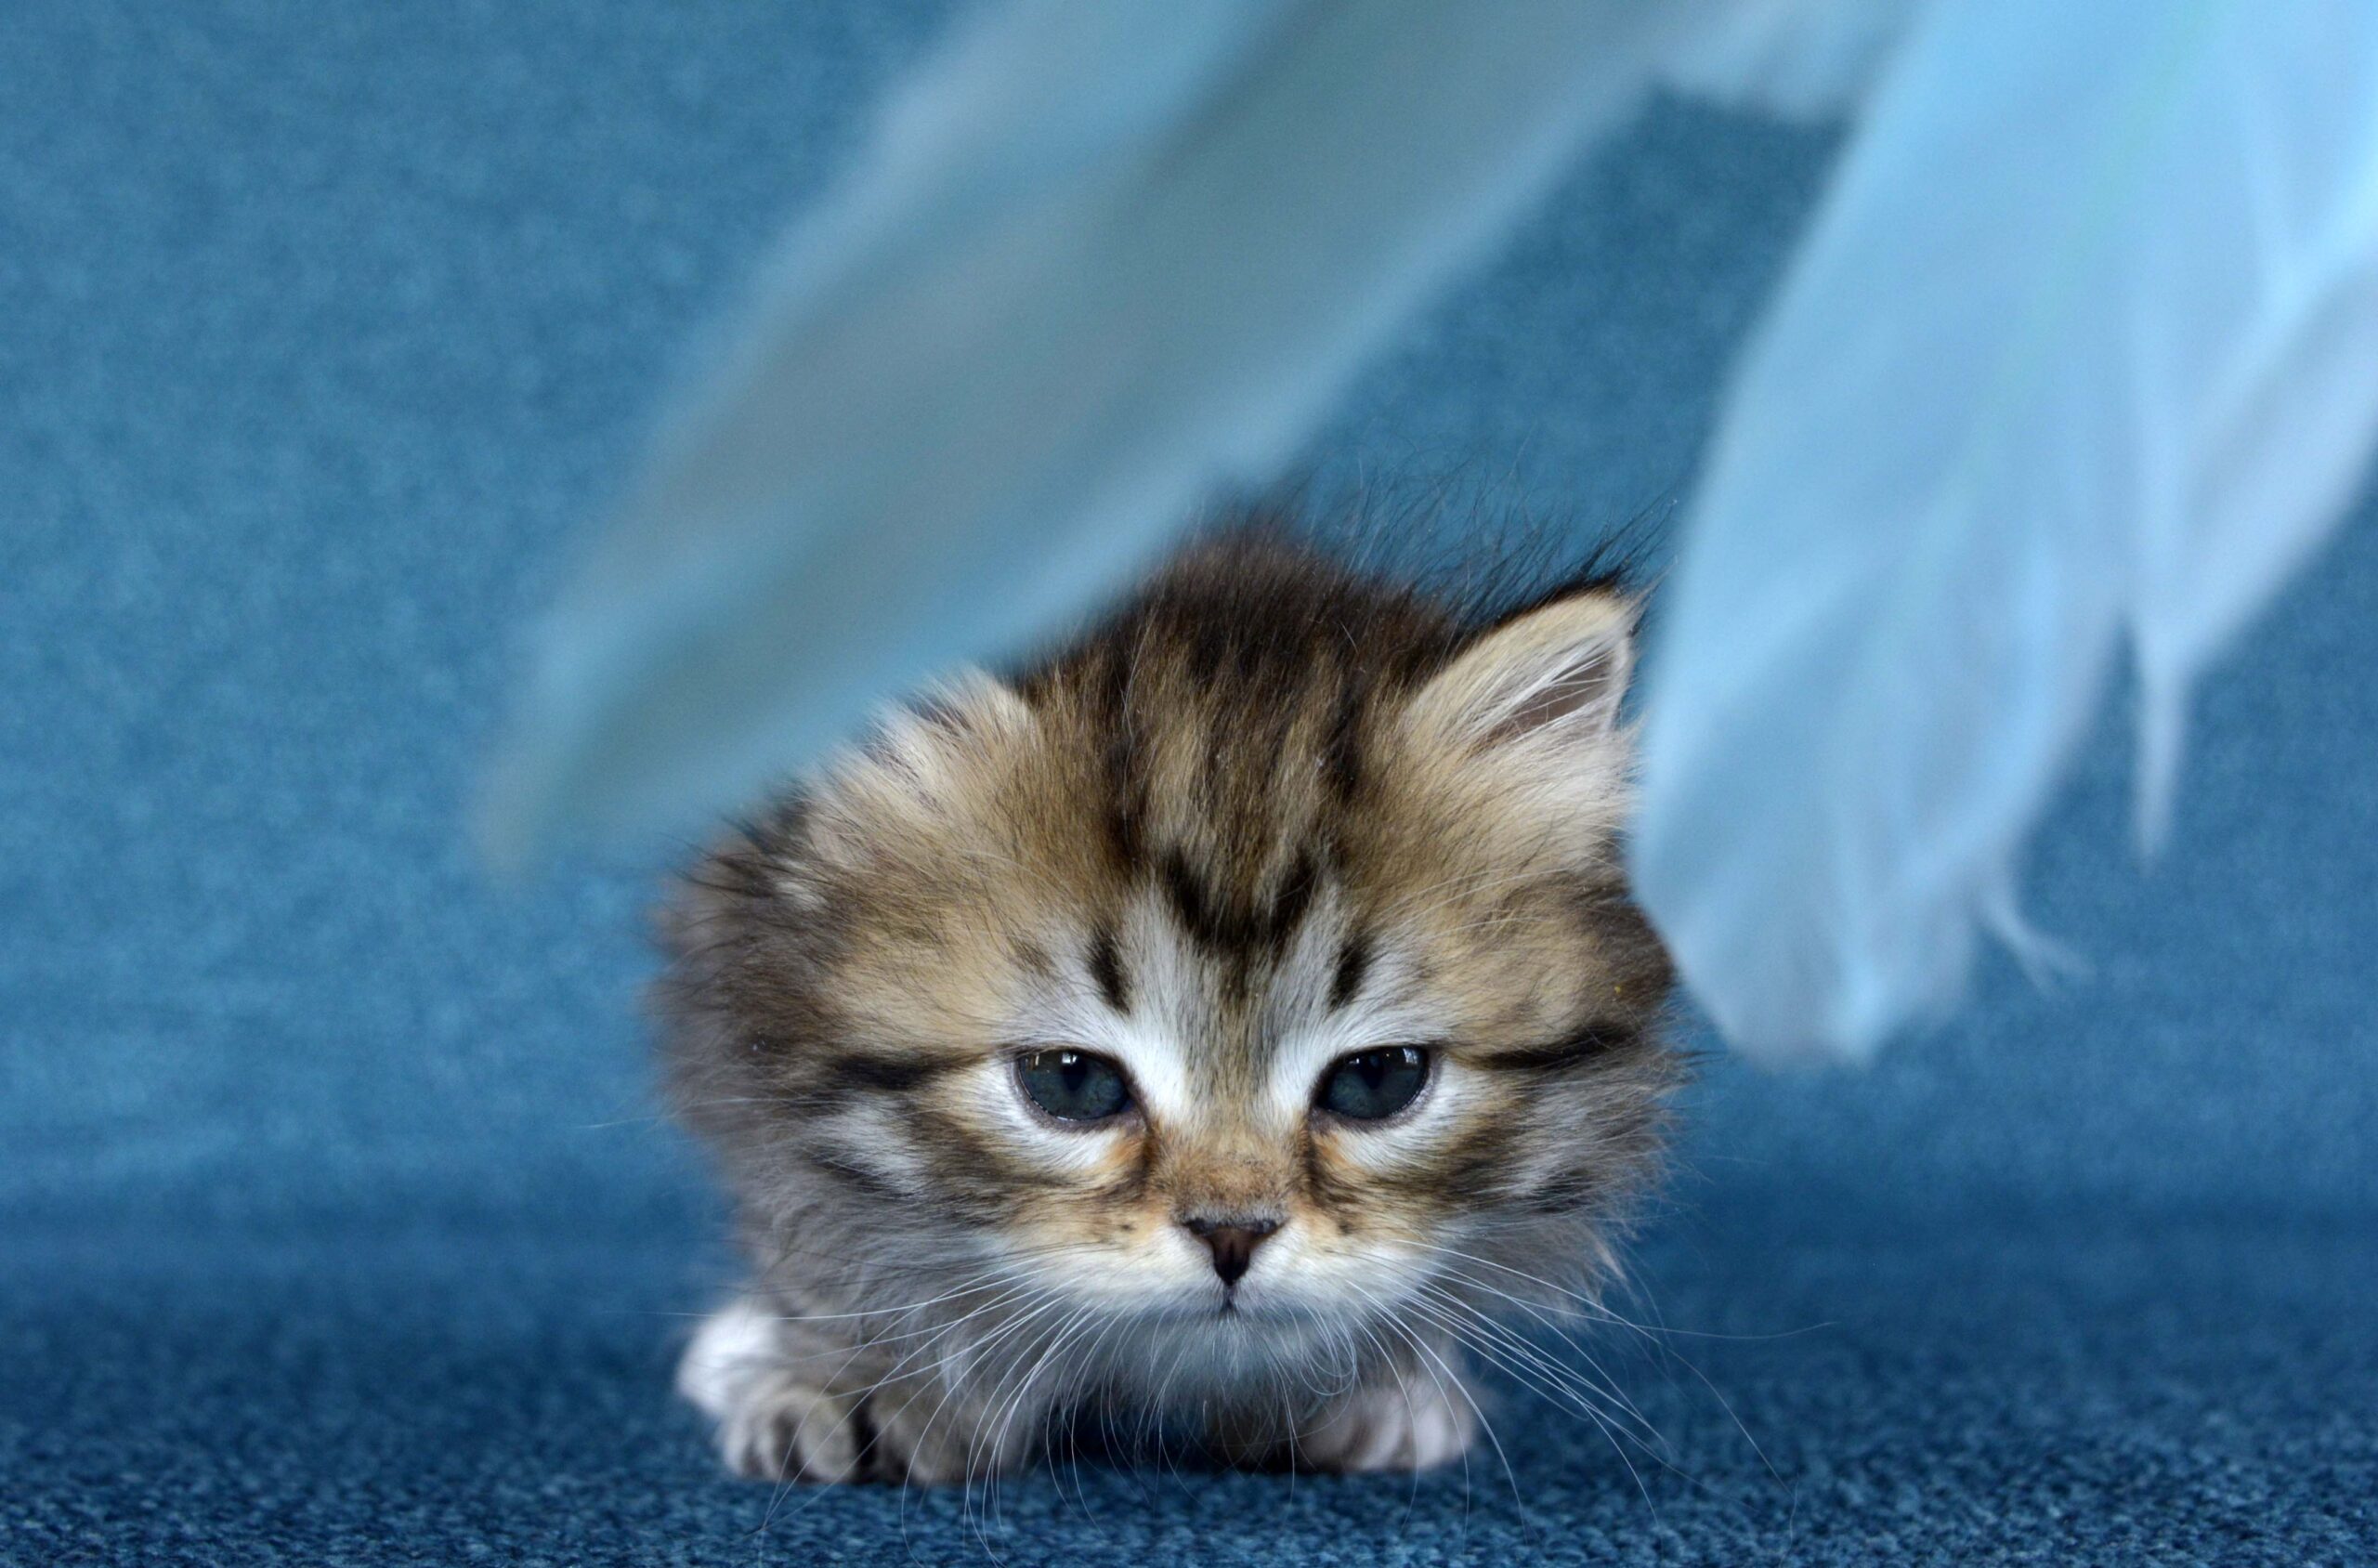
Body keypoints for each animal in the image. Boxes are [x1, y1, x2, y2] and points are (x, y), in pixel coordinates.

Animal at [657, 530, 1677, 1484]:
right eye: (1071, 1082)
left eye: (1378, 1079)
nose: (1232, 1233)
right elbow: (814, 1232)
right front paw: (856, 1380)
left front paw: (1380, 1385)